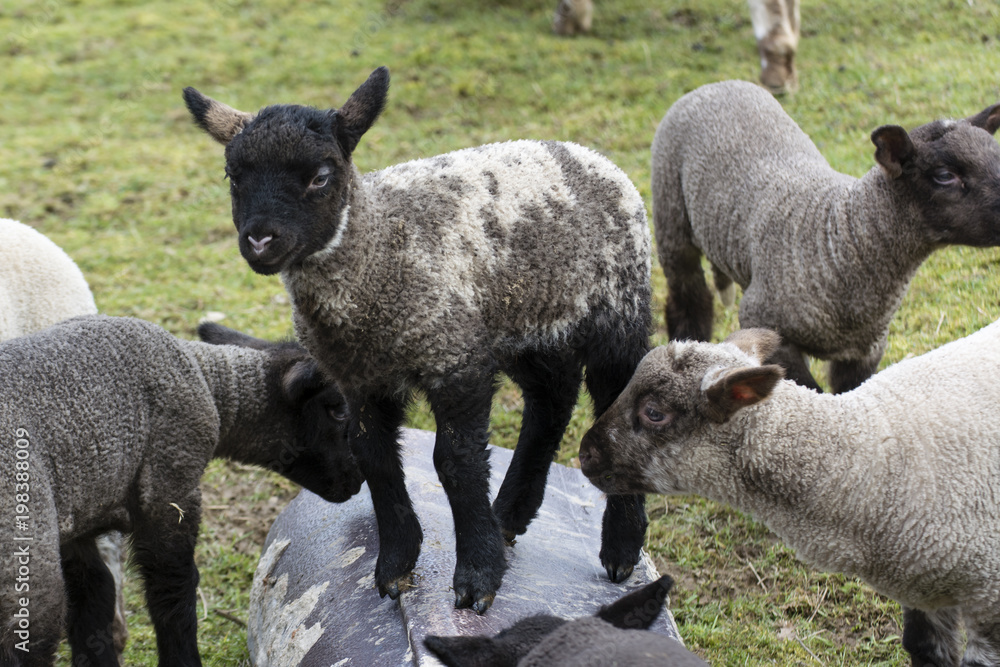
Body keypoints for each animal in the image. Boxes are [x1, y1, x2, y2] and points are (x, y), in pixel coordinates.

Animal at [0, 316, 363, 667]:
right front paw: (183, 659)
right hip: (25, 547)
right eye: (338, 409)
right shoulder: (169, 489)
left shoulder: (76, 514)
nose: (359, 480)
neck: (213, 386)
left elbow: (94, 597)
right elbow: (174, 591)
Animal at [182, 65, 653, 614]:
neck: (378, 251)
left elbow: (456, 463)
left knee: (616, 399)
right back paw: (511, 514)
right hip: (524, 325)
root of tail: (587, 154)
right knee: (551, 399)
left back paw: (620, 547)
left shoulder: (454, 357)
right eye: (233, 177)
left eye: (320, 176)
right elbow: (377, 461)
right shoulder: (359, 379)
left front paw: (477, 577)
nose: (259, 241)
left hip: (617, 309)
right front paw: (395, 568)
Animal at [652, 80, 1000, 393]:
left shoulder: (865, 352)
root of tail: (715, 85)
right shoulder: (763, 321)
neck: (839, 240)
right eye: (944, 176)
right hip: (671, 217)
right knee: (688, 297)